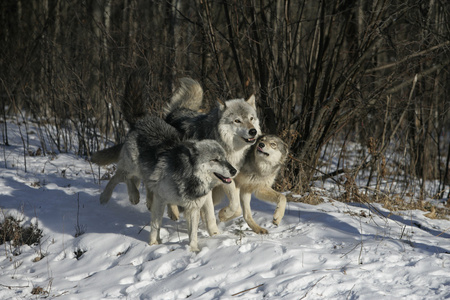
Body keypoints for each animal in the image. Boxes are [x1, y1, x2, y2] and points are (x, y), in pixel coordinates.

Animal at [135, 116, 237, 252]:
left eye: (225, 158)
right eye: (215, 159)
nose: (234, 171)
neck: (188, 178)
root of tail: (145, 119)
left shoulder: (194, 207)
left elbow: (194, 232)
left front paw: (194, 250)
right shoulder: (160, 199)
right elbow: (155, 224)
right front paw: (152, 245)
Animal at [164, 78, 260, 221]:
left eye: (251, 118)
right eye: (237, 121)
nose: (253, 131)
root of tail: (177, 110)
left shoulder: (229, 177)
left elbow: (236, 206)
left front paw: (223, 215)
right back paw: (173, 212)